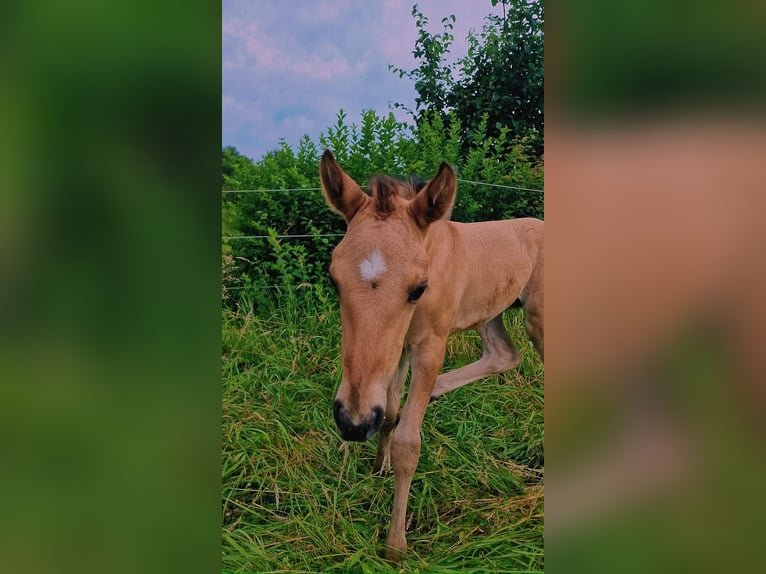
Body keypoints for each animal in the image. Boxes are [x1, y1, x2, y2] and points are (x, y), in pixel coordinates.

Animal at [320, 150, 544, 564]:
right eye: (333, 279)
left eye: (417, 288)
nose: (353, 422)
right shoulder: (401, 346)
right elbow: (391, 411)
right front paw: (377, 466)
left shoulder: (430, 346)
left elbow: (409, 442)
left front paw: (394, 545)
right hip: (489, 311)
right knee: (505, 354)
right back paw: (438, 390)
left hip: (539, 319)